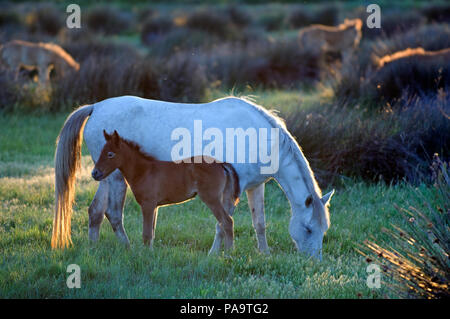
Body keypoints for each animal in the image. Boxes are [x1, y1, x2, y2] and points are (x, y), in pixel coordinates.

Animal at [90, 131, 239, 255]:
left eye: (110, 154)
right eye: (101, 152)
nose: (95, 173)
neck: (143, 171)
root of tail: (220, 164)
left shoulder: (148, 204)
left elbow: (146, 234)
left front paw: (145, 257)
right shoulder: (155, 206)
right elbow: (151, 233)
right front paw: (150, 253)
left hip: (211, 198)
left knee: (227, 222)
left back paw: (229, 253)